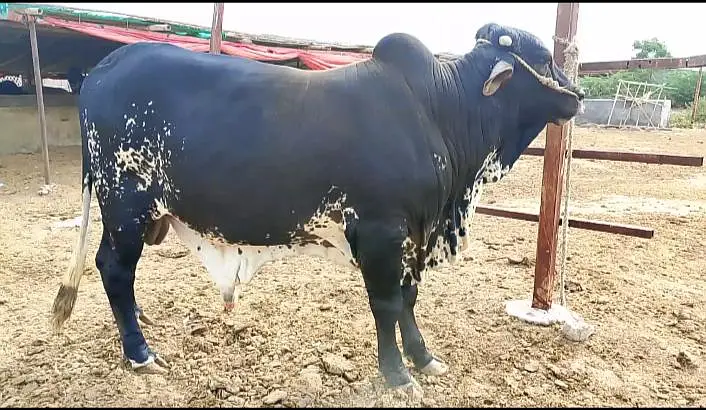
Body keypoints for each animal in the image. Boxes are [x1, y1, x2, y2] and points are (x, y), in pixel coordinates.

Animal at [51, 22, 583, 398]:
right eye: (542, 58)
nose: (577, 96)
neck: (440, 110)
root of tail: (106, 66)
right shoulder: (382, 232)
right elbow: (387, 303)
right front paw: (397, 375)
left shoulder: (416, 234)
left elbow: (409, 299)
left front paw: (424, 358)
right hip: (125, 203)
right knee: (115, 269)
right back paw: (140, 353)